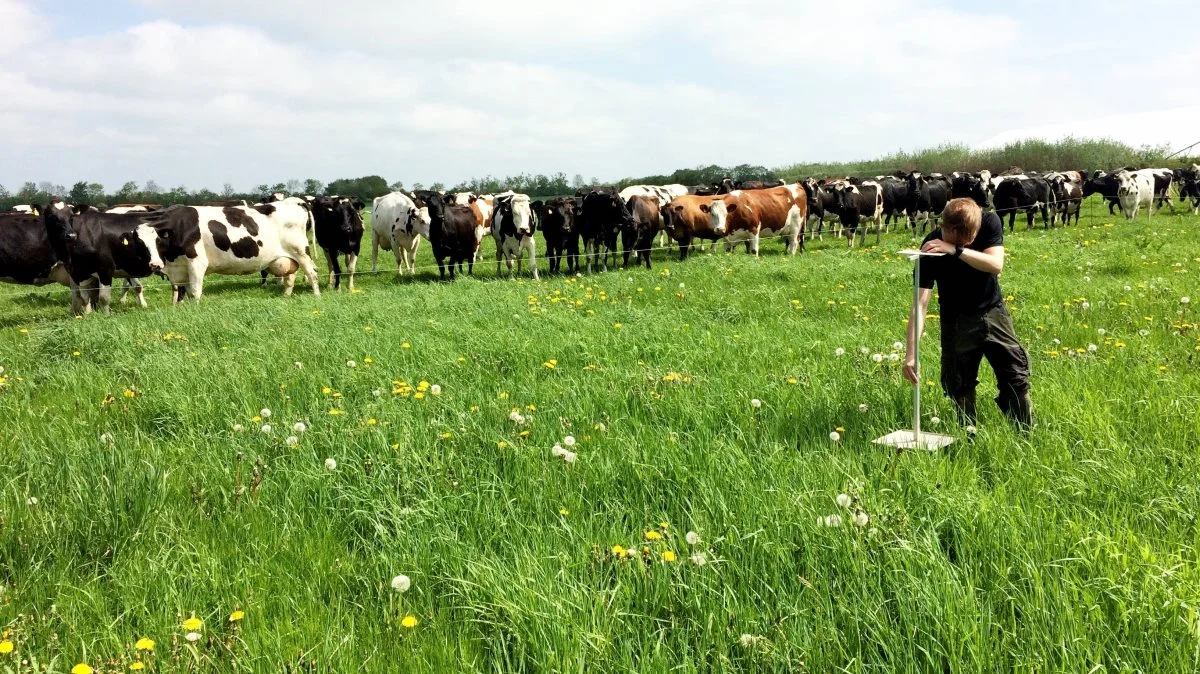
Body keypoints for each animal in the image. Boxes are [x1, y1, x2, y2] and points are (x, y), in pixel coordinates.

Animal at [147, 200, 321, 299]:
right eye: (142, 244)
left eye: (158, 241)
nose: (154, 265)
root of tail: (296, 203)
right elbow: (187, 292)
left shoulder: (197, 262)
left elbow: (195, 291)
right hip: (289, 257)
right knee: (290, 276)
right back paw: (286, 296)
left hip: (301, 252)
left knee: (312, 273)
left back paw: (316, 295)